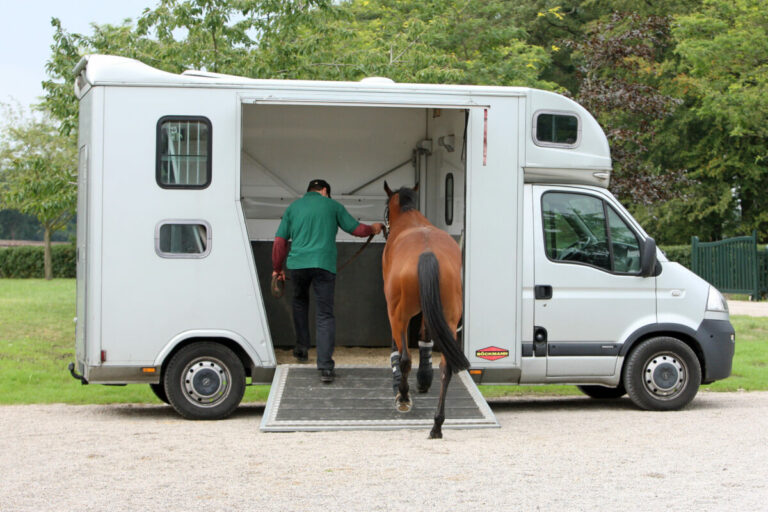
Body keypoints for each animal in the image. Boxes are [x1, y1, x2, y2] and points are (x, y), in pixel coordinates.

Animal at [382, 181, 471, 439]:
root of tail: (427, 253)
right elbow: (426, 336)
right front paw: (424, 378)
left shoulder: (394, 311)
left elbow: (398, 350)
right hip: (449, 318)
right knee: (446, 367)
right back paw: (437, 424)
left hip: (399, 315)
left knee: (404, 358)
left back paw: (403, 397)